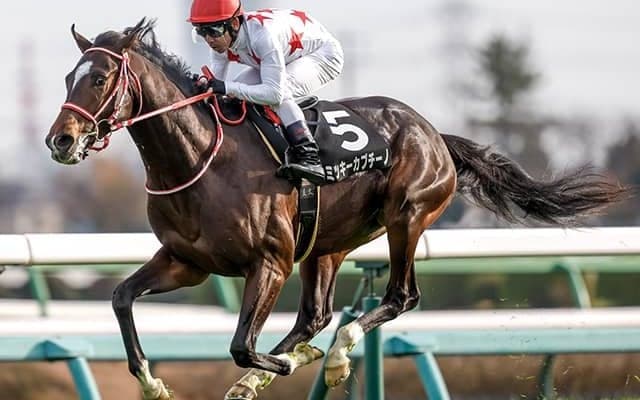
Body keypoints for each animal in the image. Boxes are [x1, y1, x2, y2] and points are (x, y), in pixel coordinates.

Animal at [45, 19, 628, 400]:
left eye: (99, 79)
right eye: (68, 78)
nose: (60, 140)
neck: (199, 157)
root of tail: (435, 133)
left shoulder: (270, 261)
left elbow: (240, 344)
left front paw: (276, 365)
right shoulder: (187, 262)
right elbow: (122, 298)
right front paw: (152, 382)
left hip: (405, 217)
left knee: (398, 297)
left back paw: (336, 354)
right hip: (326, 242)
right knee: (316, 314)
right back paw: (293, 360)